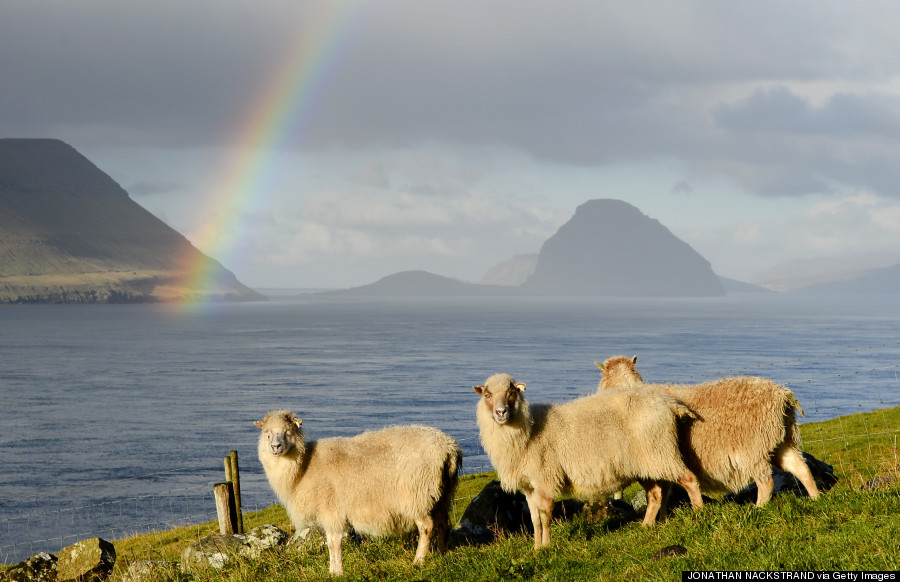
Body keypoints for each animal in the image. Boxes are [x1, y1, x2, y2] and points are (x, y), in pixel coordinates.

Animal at [255, 412, 460, 576]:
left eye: (287, 431)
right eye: (267, 433)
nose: (275, 447)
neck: (305, 466)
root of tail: (448, 448)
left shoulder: (331, 510)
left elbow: (334, 542)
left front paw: (337, 572)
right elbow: (330, 541)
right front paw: (332, 571)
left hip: (417, 494)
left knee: (426, 527)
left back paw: (418, 561)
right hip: (440, 494)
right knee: (444, 523)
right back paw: (441, 554)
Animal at [472, 374, 704, 552]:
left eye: (511, 393)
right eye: (487, 395)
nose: (500, 412)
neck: (528, 430)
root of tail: (667, 402)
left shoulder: (545, 479)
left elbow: (545, 516)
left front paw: (546, 547)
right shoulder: (529, 485)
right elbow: (535, 519)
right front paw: (536, 548)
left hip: (660, 452)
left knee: (689, 479)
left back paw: (699, 513)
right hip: (649, 461)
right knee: (657, 493)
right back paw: (650, 525)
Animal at [596, 356, 824, 506]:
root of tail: (782, 394)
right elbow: (666, 490)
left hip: (753, 448)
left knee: (766, 481)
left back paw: (759, 508)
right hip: (781, 440)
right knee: (801, 468)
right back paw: (816, 498)